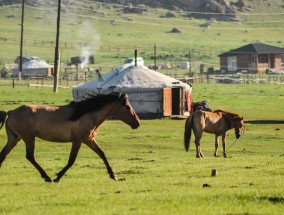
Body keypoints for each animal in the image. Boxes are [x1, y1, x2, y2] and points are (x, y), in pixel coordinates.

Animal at [0, 93, 140, 182]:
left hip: (14, 138)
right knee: (30, 156)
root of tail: (11, 112)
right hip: (28, 138)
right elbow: (71, 160)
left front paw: (113, 175)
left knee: (3, 154)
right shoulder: (78, 141)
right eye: (127, 107)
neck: (86, 115)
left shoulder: (89, 140)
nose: (137, 123)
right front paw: (57, 177)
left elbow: (102, 154)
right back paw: (46, 177)